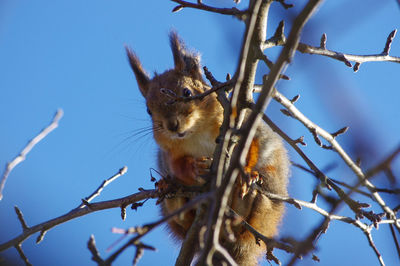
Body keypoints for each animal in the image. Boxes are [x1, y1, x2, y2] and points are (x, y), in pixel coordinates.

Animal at [126, 32, 290, 264]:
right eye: (149, 110)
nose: (172, 126)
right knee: (182, 219)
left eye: (187, 92)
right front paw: (195, 168)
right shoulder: (169, 153)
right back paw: (171, 192)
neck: (196, 132)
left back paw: (245, 196)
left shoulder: (246, 124)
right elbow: (178, 166)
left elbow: (253, 145)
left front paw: (244, 172)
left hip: (270, 193)